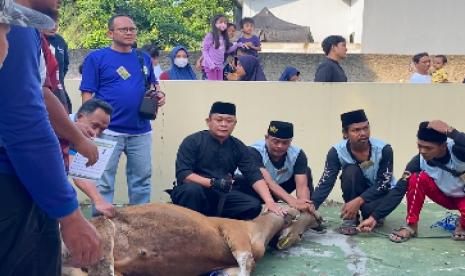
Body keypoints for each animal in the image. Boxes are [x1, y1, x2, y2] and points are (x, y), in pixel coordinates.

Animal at [63, 203, 320, 276]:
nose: (321, 223)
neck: (256, 230)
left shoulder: (227, 267)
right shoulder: (233, 232)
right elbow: (247, 262)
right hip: (101, 238)